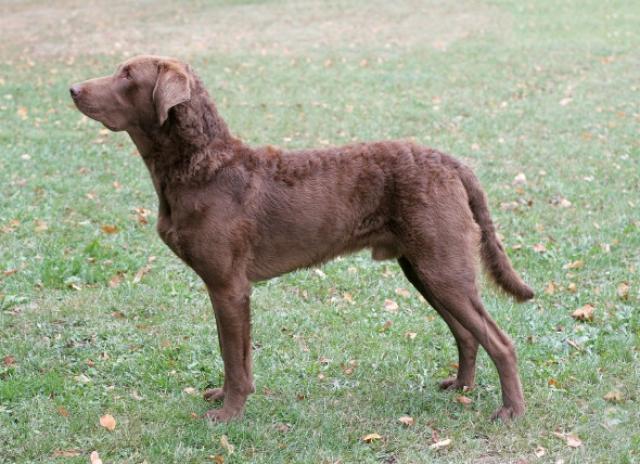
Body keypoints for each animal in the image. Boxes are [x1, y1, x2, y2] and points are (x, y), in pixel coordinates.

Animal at [70, 55, 534, 422]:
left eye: (127, 75)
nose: (72, 88)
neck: (202, 166)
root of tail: (452, 162)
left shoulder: (227, 285)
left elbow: (231, 356)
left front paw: (228, 414)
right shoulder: (230, 289)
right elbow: (236, 354)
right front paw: (227, 398)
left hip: (442, 265)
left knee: (500, 341)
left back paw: (511, 410)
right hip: (424, 267)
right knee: (467, 334)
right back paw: (461, 388)